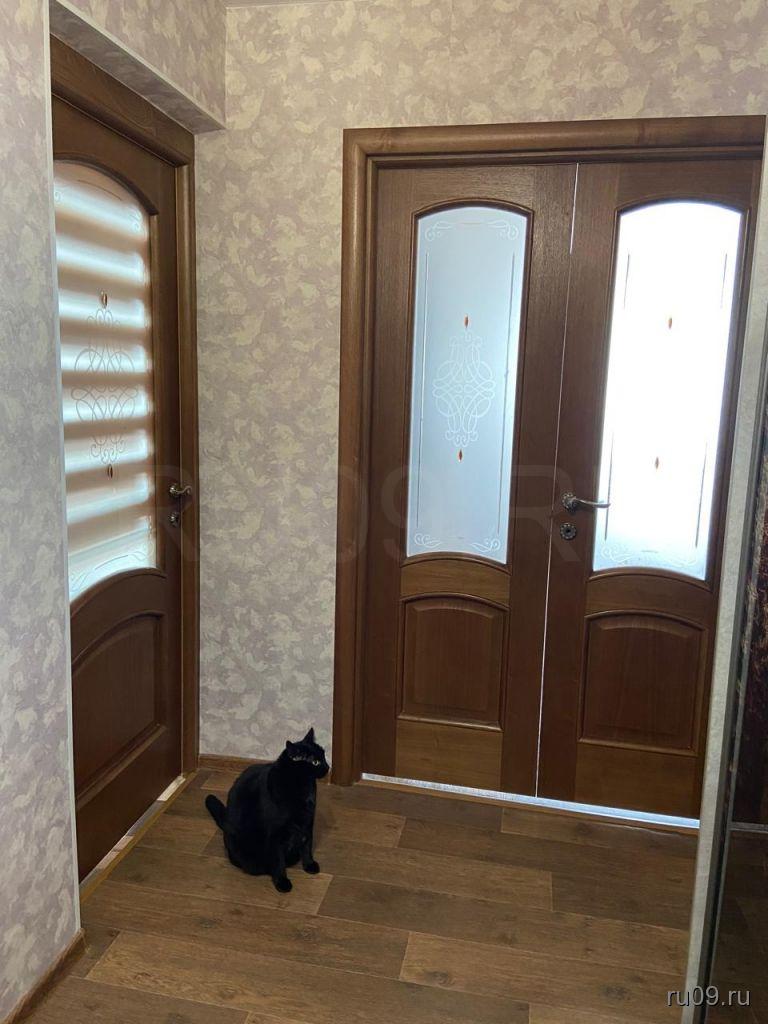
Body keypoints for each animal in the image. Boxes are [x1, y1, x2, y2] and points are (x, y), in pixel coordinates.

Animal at [205, 727, 329, 892]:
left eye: (324, 757)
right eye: (316, 762)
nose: (328, 767)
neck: (303, 788)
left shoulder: (307, 822)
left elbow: (307, 845)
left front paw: (309, 865)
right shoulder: (275, 834)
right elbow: (278, 860)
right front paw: (282, 882)